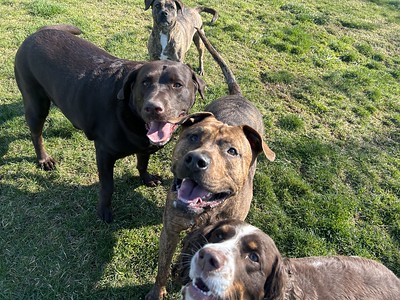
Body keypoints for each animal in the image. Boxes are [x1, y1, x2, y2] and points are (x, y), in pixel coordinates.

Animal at [14, 25, 205, 223]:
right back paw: (44, 159)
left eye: (177, 84)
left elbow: (142, 163)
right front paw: (104, 210)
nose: (153, 107)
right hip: (36, 103)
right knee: (36, 133)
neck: (129, 112)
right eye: (145, 82)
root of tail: (39, 32)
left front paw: (146, 178)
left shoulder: (143, 145)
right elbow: (107, 186)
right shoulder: (104, 153)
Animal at [145, 27, 276, 298]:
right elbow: (162, 266)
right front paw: (157, 291)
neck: (207, 211)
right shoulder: (170, 230)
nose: (196, 160)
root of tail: (238, 95)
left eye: (232, 151)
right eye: (194, 136)